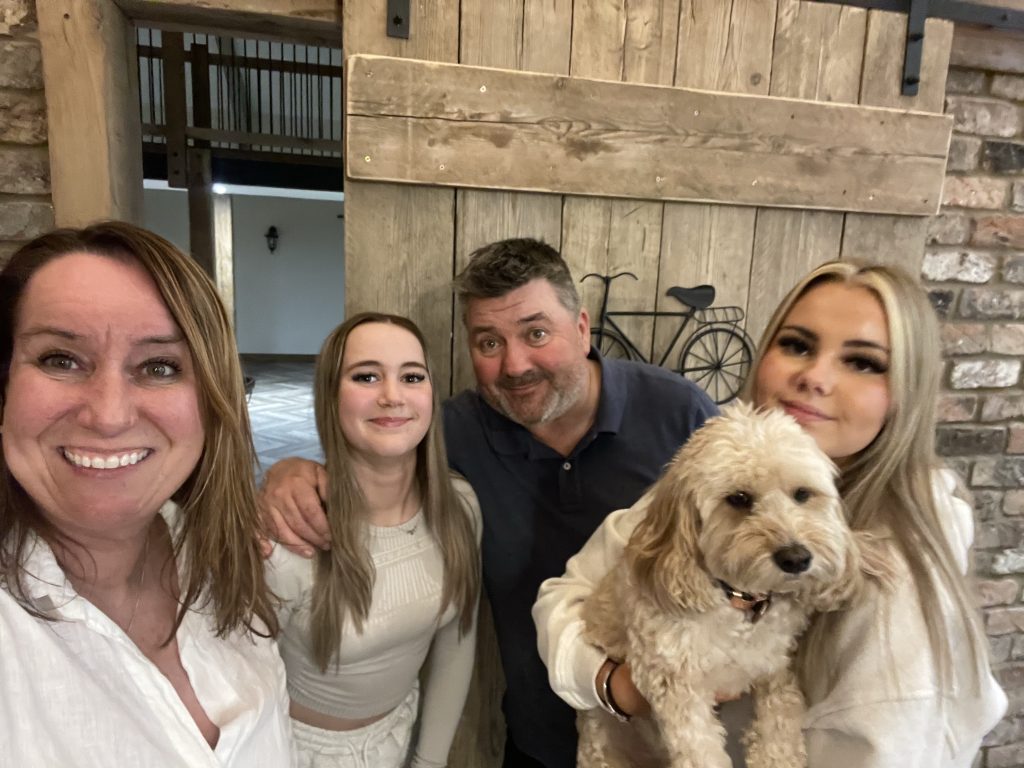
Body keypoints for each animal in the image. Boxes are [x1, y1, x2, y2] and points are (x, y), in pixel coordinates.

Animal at [577, 403, 890, 768]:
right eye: (739, 499)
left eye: (802, 494)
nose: (796, 558)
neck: (740, 602)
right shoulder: (675, 683)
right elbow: (700, 750)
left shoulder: (774, 668)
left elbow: (780, 728)